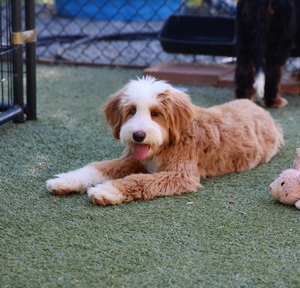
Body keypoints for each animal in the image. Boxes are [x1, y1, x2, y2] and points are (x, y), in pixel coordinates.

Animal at [45, 76, 282, 205]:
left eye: (156, 113)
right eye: (132, 111)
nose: (138, 135)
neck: (166, 145)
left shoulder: (181, 175)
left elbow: (139, 180)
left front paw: (106, 190)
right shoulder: (131, 160)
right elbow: (96, 167)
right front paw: (65, 181)